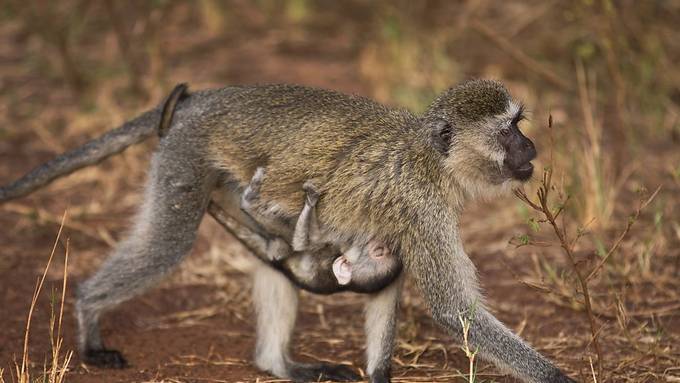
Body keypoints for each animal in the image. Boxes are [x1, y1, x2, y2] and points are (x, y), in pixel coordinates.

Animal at [242, 168, 398, 294]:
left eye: (378, 252)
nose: (384, 241)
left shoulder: (328, 253)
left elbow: (305, 242)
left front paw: (311, 199)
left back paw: (249, 200)